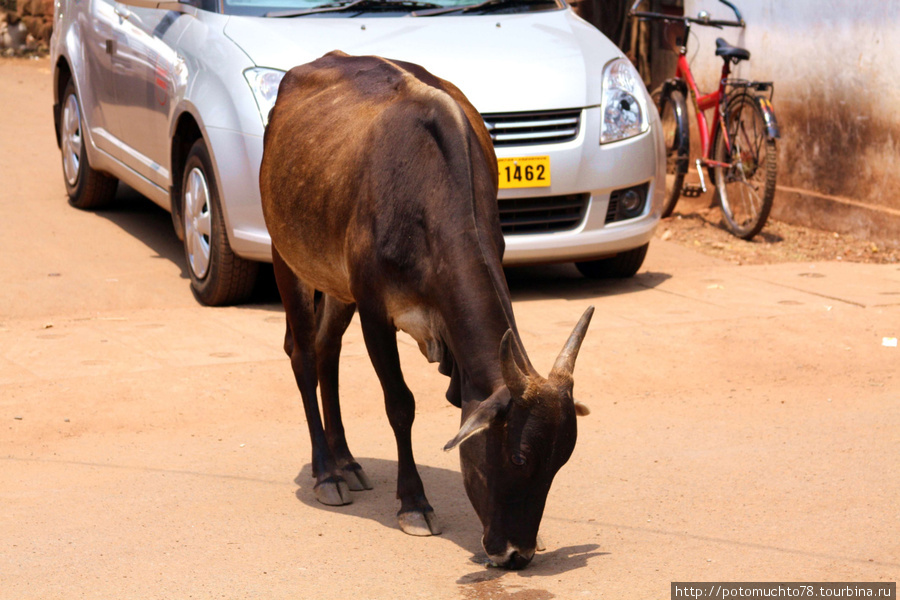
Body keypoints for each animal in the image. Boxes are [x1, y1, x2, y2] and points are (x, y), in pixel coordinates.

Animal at [258, 50, 592, 568]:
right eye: (518, 458)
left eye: (560, 462)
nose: (517, 553)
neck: (426, 194)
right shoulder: (375, 311)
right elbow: (400, 404)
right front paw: (413, 503)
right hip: (288, 256)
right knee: (305, 357)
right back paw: (326, 473)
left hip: (336, 285)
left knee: (327, 351)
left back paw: (346, 461)